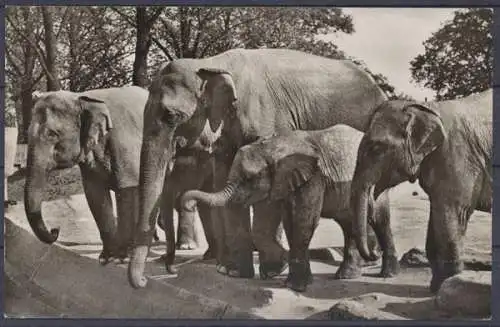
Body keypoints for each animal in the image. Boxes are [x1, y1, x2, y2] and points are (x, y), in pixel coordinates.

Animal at [25, 87, 146, 264]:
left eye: (52, 134)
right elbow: (95, 194)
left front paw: (122, 257)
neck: (81, 97)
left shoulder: (126, 144)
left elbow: (127, 190)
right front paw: (106, 257)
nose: (55, 229)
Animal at [182, 125, 400, 292]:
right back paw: (347, 275)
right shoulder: (287, 181)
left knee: (379, 218)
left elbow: (305, 219)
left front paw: (295, 285)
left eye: (249, 179)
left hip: (377, 180)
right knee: (348, 222)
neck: (272, 146)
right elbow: (289, 220)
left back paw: (385, 273)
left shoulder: (313, 178)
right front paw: (286, 274)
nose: (188, 204)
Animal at [352, 88, 492, 294]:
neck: (427, 108)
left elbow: (453, 212)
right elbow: (436, 216)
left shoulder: (458, 157)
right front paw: (436, 287)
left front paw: (449, 285)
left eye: (376, 148)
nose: (374, 254)